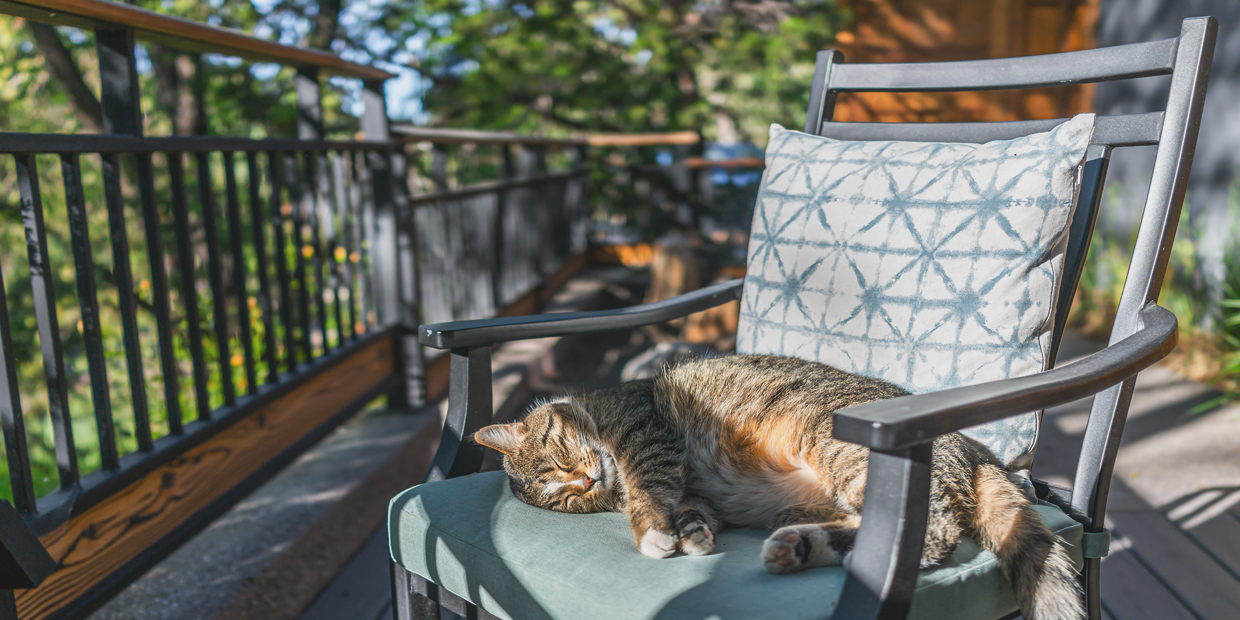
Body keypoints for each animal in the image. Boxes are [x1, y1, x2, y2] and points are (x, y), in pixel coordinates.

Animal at [473, 354, 1086, 620]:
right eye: (567, 498)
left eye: (555, 454)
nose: (583, 478)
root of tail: (978, 450)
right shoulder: (690, 491)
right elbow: (691, 511)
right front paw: (693, 535)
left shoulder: (646, 433)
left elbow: (649, 493)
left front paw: (652, 534)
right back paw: (799, 546)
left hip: (839, 446)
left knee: (933, 531)